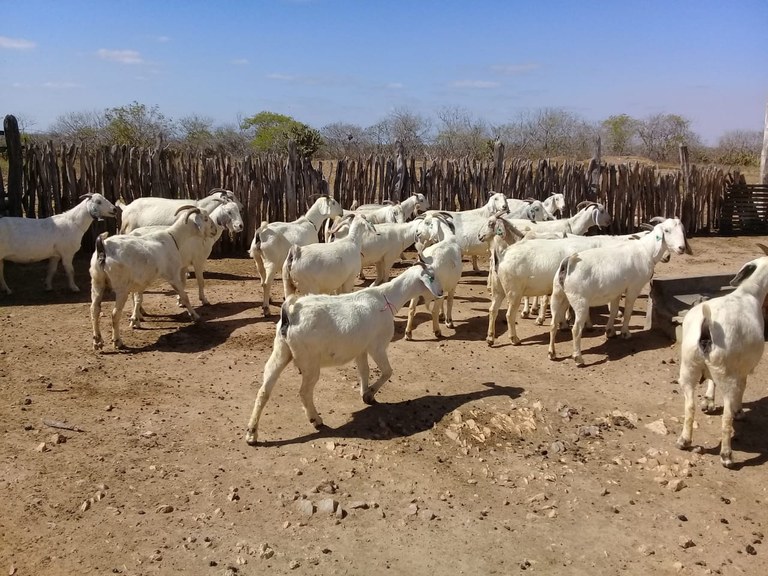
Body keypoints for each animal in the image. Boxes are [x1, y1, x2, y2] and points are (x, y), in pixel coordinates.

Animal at [89, 207, 208, 352]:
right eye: (206, 218)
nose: (213, 230)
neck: (173, 237)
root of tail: (103, 248)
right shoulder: (173, 275)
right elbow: (184, 296)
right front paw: (195, 316)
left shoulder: (140, 282)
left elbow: (138, 298)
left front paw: (136, 319)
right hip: (121, 288)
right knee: (115, 314)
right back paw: (117, 341)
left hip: (97, 283)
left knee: (94, 310)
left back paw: (97, 341)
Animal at [243, 260, 440, 446]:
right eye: (432, 277)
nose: (440, 293)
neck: (386, 298)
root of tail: (290, 312)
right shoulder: (377, 346)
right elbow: (387, 371)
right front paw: (370, 394)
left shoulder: (361, 349)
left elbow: (364, 371)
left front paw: (365, 393)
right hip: (309, 361)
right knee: (304, 392)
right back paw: (316, 420)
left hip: (281, 351)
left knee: (264, 390)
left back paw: (252, 433)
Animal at [548, 216, 692, 364]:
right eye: (667, 230)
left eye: (682, 230)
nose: (681, 248)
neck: (646, 251)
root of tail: (568, 263)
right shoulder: (634, 287)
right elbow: (628, 311)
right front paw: (625, 333)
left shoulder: (616, 291)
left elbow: (614, 311)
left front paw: (610, 332)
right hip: (579, 300)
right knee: (576, 329)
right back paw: (578, 358)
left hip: (558, 295)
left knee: (553, 324)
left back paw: (552, 353)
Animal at [676, 249, 768, 468]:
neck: (749, 294)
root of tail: (707, 324)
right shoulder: (742, 369)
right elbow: (742, 388)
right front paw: (740, 412)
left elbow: (711, 381)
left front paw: (708, 401)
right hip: (727, 376)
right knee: (726, 417)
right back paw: (726, 455)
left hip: (689, 367)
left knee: (689, 406)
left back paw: (684, 440)